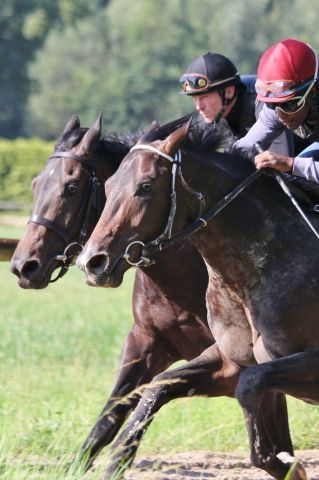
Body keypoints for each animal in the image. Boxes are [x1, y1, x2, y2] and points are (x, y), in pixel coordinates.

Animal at [10, 115, 215, 468]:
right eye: (35, 185)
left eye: (71, 188)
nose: (24, 266)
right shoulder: (147, 342)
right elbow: (112, 414)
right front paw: (80, 466)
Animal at [77, 123, 316, 480]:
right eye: (108, 185)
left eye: (145, 187)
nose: (92, 263)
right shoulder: (230, 361)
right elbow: (158, 386)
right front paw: (116, 459)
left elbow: (252, 389)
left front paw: (286, 462)